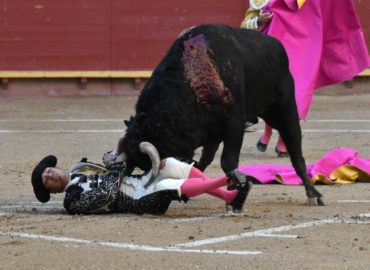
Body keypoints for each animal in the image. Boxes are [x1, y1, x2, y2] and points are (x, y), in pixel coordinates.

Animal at [119, 24, 324, 205]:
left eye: (147, 165)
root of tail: (277, 46)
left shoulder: (234, 124)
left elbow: (228, 162)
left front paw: (236, 189)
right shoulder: (209, 131)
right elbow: (200, 163)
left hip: (285, 111)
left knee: (296, 153)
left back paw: (313, 194)